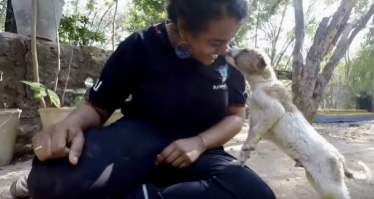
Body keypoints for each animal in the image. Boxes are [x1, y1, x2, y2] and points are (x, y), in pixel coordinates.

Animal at [225, 47, 372, 199]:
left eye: (245, 50)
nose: (229, 47)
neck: (263, 83)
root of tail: (338, 156)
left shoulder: (274, 111)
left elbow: (252, 137)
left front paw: (248, 147)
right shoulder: (254, 124)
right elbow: (250, 140)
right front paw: (239, 162)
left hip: (331, 185)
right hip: (319, 183)